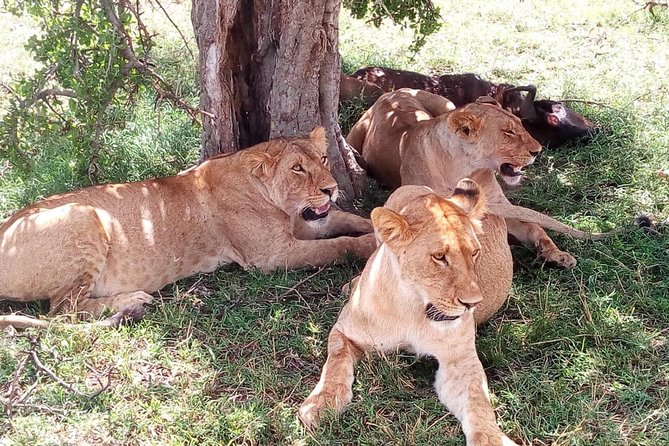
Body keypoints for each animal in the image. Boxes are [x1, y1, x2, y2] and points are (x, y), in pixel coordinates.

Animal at [0, 127, 376, 328]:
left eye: (323, 160)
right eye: (297, 168)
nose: (331, 188)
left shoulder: (303, 224)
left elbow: (347, 220)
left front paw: (375, 223)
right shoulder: (270, 256)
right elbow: (338, 245)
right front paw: (371, 245)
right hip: (84, 215)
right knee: (63, 309)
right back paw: (132, 300)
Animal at [299, 179, 520, 445]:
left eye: (475, 252)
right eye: (439, 257)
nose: (473, 303)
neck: (413, 308)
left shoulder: (459, 361)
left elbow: (477, 399)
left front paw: (491, 437)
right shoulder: (344, 331)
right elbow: (335, 362)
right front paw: (321, 402)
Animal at [347, 88, 605, 268]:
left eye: (521, 126)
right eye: (508, 131)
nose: (538, 151)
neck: (467, 168)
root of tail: (395, 91)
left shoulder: (500, 205)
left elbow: (534, 226)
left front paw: (556, 254)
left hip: (447, 103)